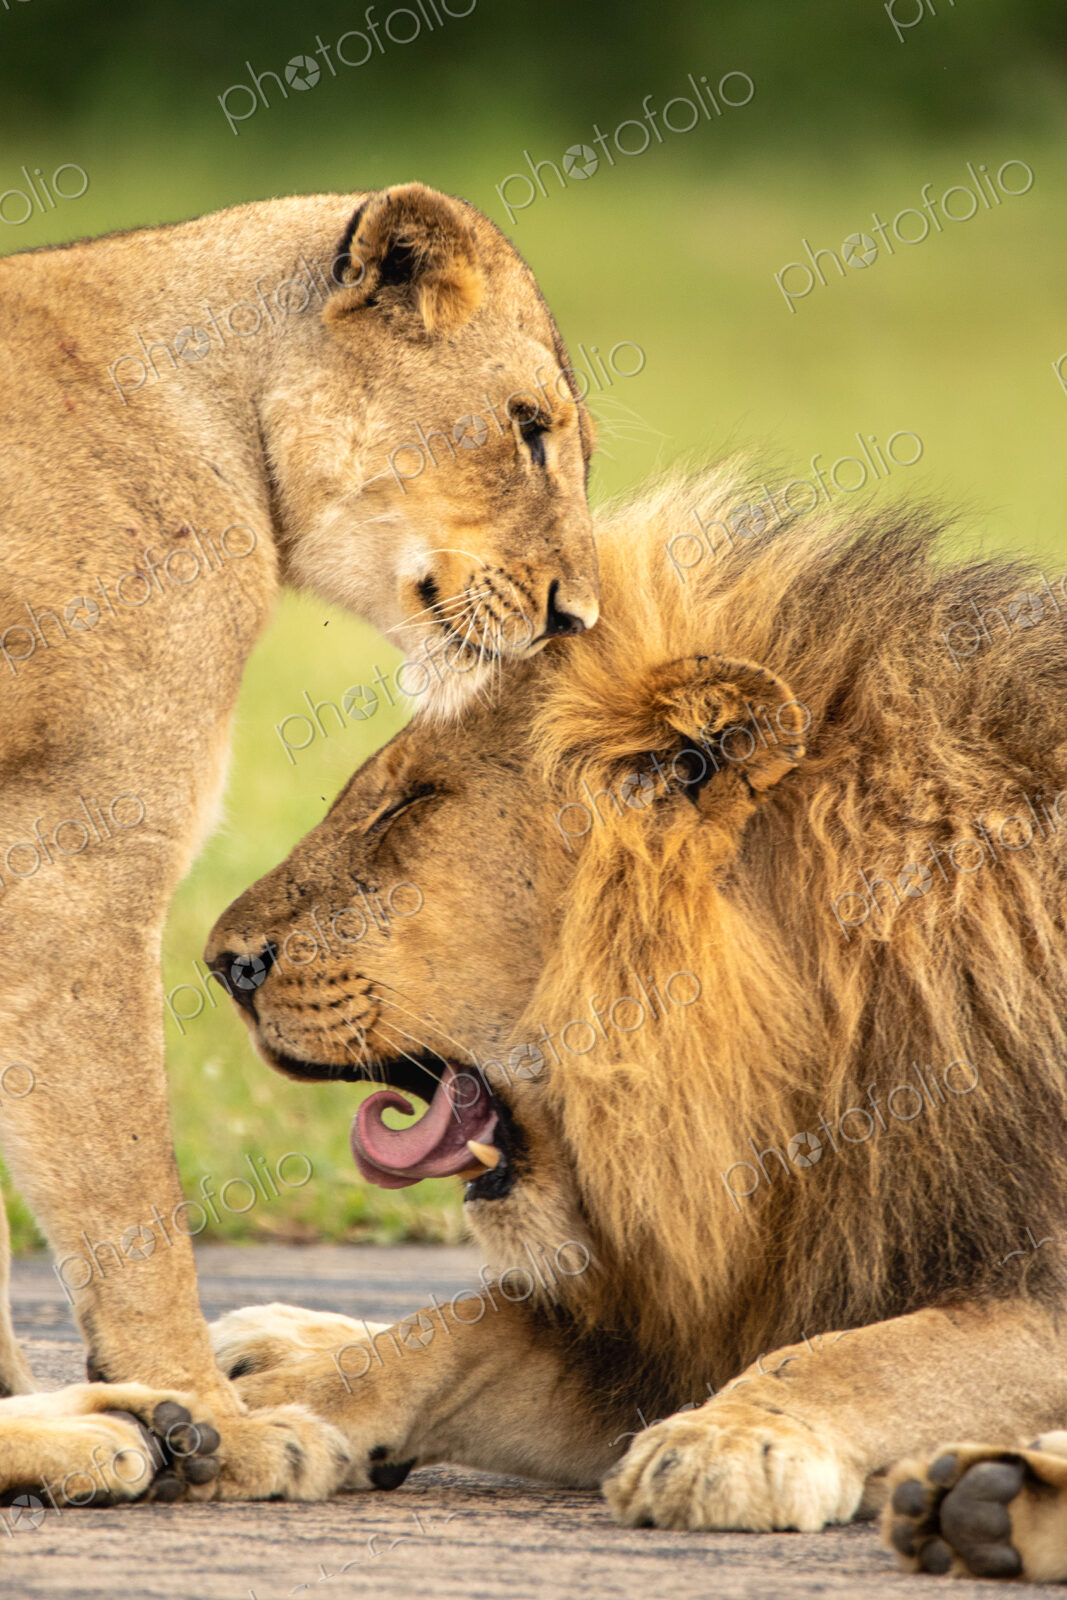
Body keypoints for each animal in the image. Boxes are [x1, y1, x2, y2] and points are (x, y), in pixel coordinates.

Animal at [0, 181, 598, 1503]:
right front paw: (218, 1424)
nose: (579, 616)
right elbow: (131, 1201)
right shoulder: (72, 868)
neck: (221, 414)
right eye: (527, 429)